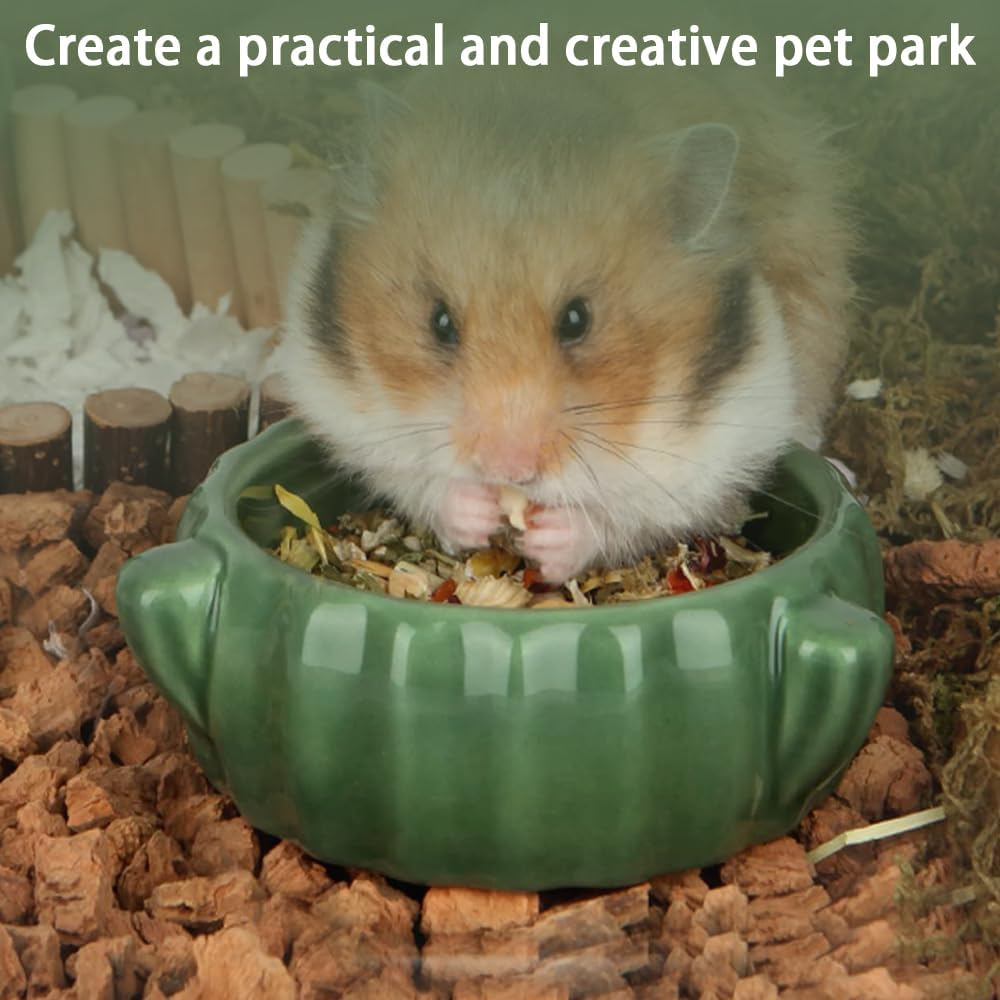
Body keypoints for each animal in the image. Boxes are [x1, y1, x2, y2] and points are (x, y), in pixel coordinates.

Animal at [279, 67, 855, 584]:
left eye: (578, 320)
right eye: (439, 321)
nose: (508, 473)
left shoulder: (720, 443)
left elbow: (633, 511)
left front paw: (551, 541)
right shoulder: (348, 410)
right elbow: (411, 473)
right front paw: (474, 511)